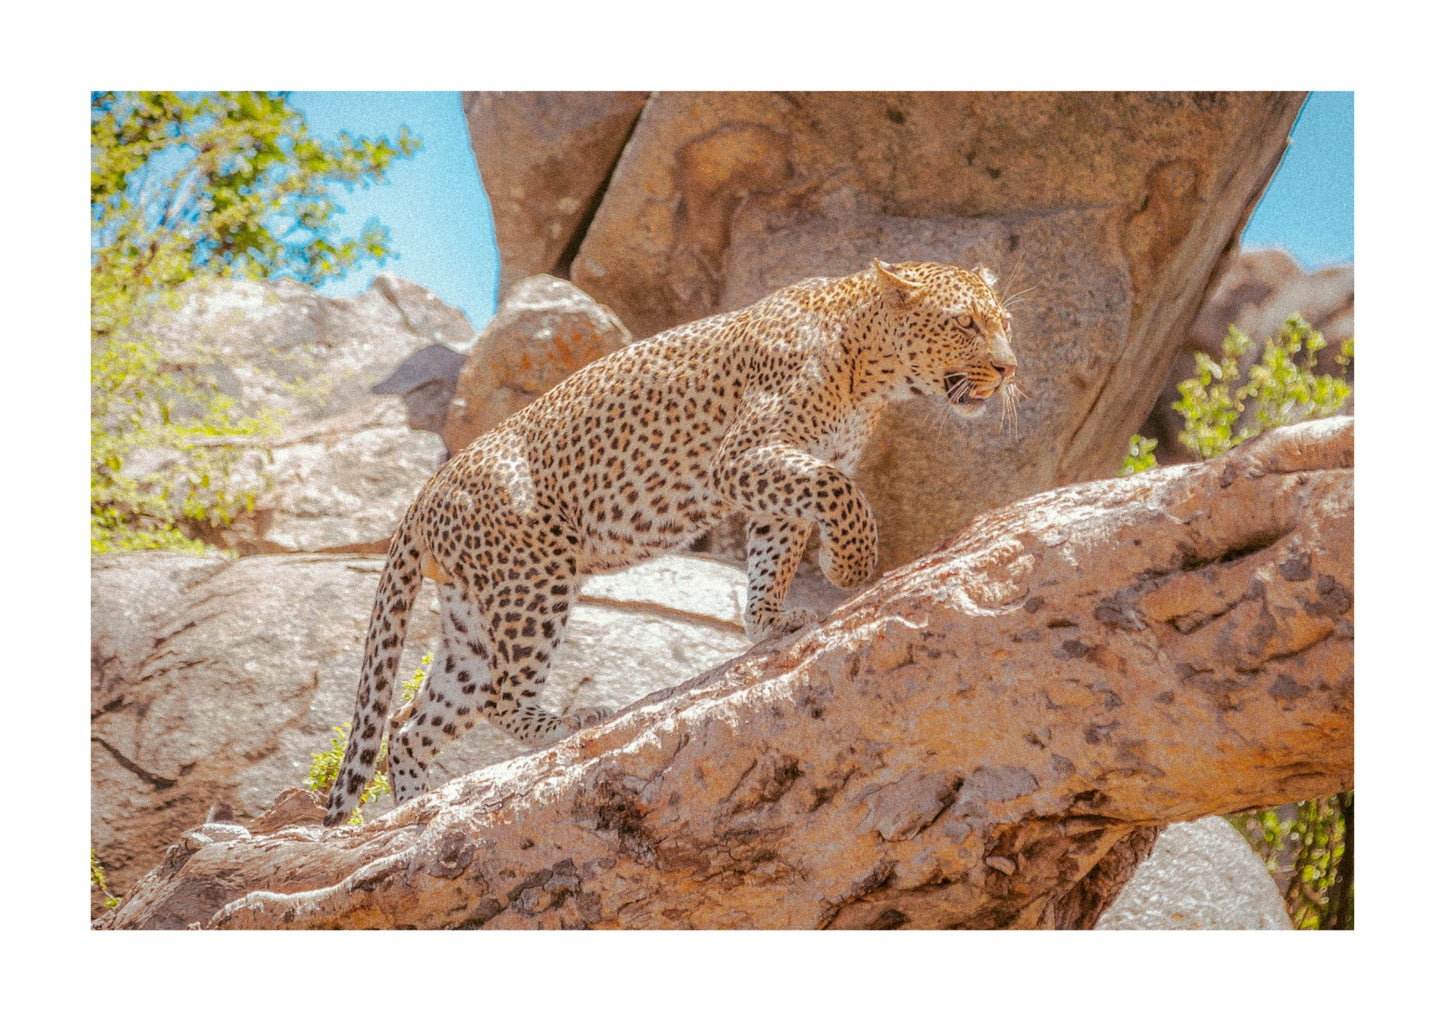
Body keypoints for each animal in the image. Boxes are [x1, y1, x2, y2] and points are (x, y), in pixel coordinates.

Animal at [323, 258, 1020, 826]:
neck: (868, 367)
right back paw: (566, 724)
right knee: (500, 696)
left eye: (1005, 322)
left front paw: (770, 621)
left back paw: (415, 811)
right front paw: (847, 566)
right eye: (963, 323)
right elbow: (839, 491)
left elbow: (776, 551)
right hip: (535, 579)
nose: (1009, 368)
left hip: (470, 618)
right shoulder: (744, 457)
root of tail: (423, 494)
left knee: (409, 726)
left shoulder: (780, 474)